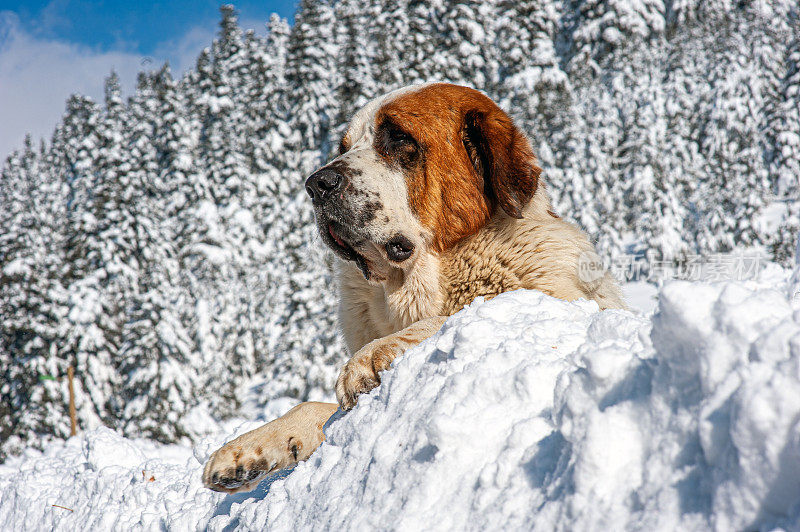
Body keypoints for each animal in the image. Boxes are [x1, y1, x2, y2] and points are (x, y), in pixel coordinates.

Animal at [202, 83, 624, 494]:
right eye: (343, 148)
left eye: (399, 139)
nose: (317, 184)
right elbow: (314, 408)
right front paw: (246, 450)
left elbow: (451, 317)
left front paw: (372, 355)